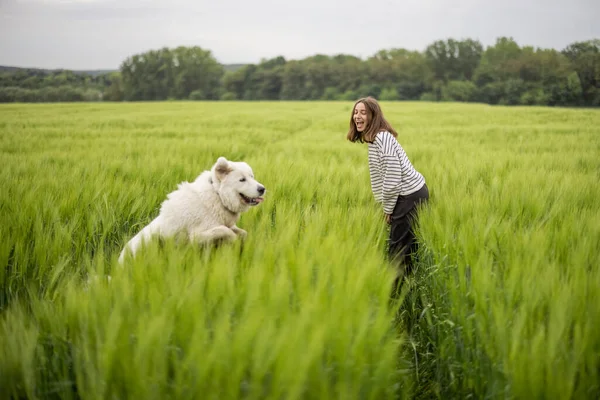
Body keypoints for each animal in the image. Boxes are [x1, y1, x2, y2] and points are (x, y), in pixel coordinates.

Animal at [117, 158, 264, 264]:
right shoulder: (196, 237)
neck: (218, 195)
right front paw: (234, 241)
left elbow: (242, 233)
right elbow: (225, 231)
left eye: (252, 177)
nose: (262, 189)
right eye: (242, 180)